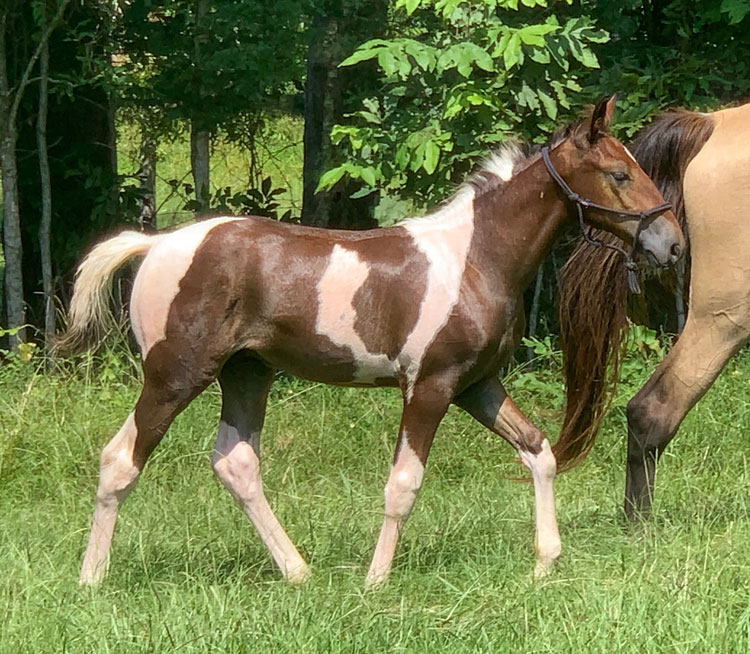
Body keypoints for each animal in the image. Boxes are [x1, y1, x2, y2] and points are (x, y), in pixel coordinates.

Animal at [61, 96, 688, 588]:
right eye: (620, 174)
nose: (673, 243)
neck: (475, 258)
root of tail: (156, 244)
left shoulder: (478, 385)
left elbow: (539, 451)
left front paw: (545, 561)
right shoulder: (430, 386)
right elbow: (404, 484)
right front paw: (376, 580)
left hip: (247, 373)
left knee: (235, 463)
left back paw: (299, 572)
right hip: (175, 375)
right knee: (120, 460)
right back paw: (91, 580)